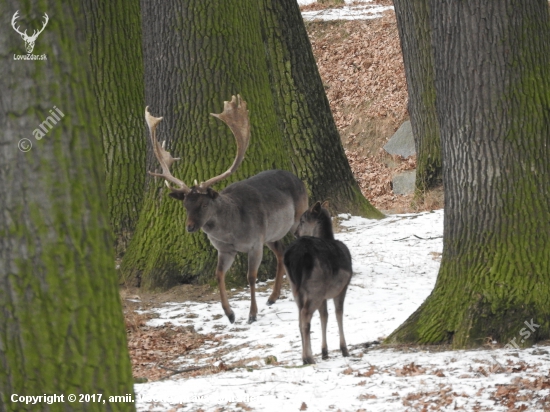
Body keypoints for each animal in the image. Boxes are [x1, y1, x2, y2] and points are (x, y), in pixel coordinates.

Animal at [147, 96, 310, 326]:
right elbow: (218, 275)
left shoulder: (255, 242)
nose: (190, 227)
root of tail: (298, 177)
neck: (233, 231)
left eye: (204, 204)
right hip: (270, 234)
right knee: (281, 251)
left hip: (298, 216)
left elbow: (251, 276)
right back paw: (272, 297)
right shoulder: (225, 249)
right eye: (185, 205)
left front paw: (252, 314)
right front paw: (230, 314)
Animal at [284, 202, 354, 364]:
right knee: (305, 315)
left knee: (300, 317)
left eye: (302, 220)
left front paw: (324, 352)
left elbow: (324, 316)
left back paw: (305, 356)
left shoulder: (324, 296)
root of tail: (296, 257)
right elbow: (338, 314)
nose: (296, 233)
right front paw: (344, 349)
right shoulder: (343, 287)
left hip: (296, 288)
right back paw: (308, 358)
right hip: (315, 286)